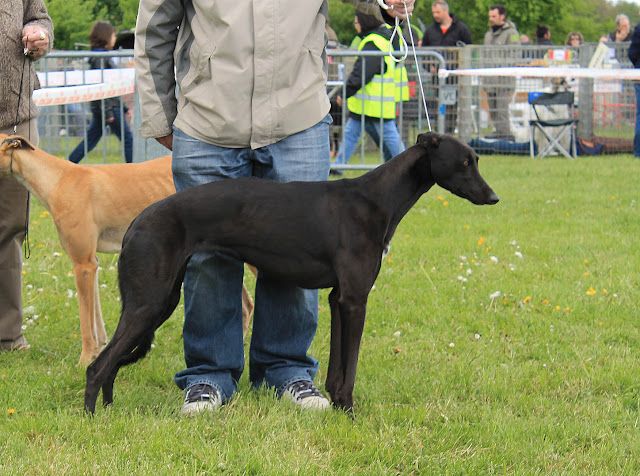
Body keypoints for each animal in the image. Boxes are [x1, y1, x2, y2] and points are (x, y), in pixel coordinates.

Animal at [0, 136, 255, 366]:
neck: (58, 178)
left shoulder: (82, 263)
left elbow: (85, 324)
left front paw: (84, 360)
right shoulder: (91, 263)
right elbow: (96, 320)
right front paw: (97, 352)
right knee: (245, 305)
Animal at [82, 132, 498, 414]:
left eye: (477, 159)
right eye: (464, 163)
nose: (493, 198)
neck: (377, 198)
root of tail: (139, 221)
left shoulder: (338, 298)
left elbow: (336, 367)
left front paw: (335, 405)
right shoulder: (355, 299)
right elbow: (351, 364)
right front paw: (350, 412)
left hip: (161, 299)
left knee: (111, 363)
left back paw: (109, 410)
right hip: (148, 302)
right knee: (97, 364)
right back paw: (91, 418)